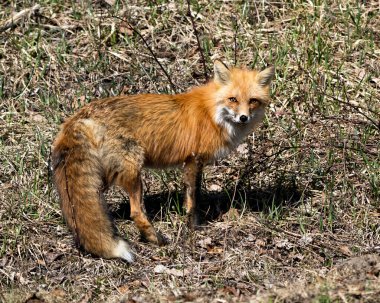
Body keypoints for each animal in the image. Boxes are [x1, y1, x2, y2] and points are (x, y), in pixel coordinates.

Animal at [52, 60, 274, 262]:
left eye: (252, 101)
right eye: (233, 99)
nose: (244, 117)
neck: (213, 113)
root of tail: (80, 116)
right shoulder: (194, 160)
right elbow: (193, 199)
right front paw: (194, 227)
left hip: (104, 175)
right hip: (133, 172)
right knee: (136, 212)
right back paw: (156, 240)